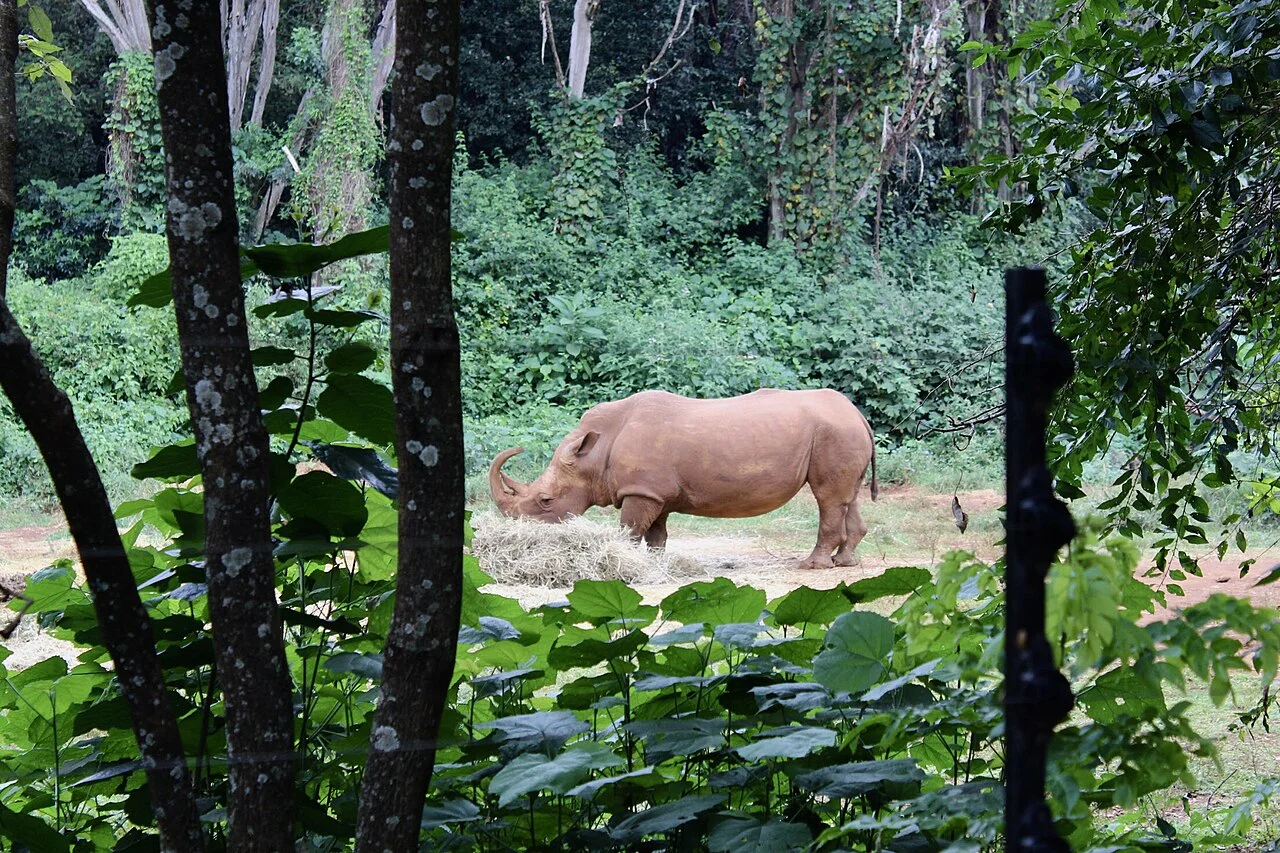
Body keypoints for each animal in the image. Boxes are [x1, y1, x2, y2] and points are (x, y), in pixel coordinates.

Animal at [488, 388, 878, 569]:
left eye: (545, 501)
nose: (521, 533)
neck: (595, 454)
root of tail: (857, 414)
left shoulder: (641, 490)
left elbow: (629, 530)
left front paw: (624, 562)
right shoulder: (654, 491)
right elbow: (656, 533)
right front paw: (655, 564)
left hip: (834, 433)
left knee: (828, 497)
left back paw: (812, 566)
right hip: (842, 432)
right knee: (848, 496)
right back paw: (844, 563)